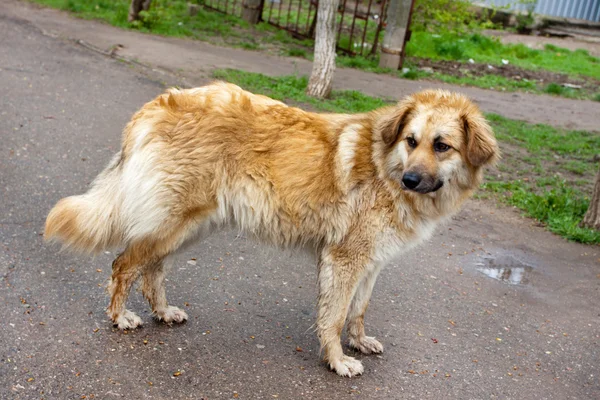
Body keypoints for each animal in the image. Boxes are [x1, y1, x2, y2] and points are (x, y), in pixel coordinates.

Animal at [45, 83, 496, 376]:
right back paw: (120, 317)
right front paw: (337, 360)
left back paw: (162, 311)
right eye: (411, 141)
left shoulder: (371, 263)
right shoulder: (345, 259)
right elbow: (333, 316)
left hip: (188, 226)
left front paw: (358, 341)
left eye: (441, 146)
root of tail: (156, 105)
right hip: (172, 222)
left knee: (151, 270)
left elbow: (358, 311)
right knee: (124, 265)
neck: (385, 164)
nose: (411, 180)